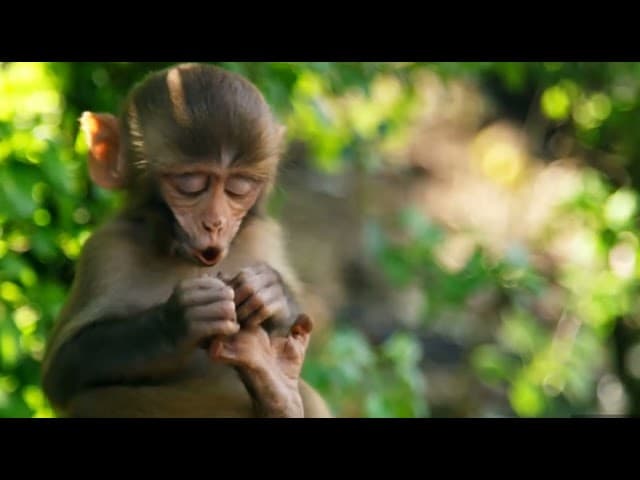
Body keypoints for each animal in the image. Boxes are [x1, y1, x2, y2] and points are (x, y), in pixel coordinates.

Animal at [41, 63, 332, 418]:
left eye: (239, 186)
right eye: (189, 183)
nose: (215, 223)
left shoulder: (264, 235)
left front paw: (270, 291)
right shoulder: (105, 250)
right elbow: (61, 370)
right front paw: (180, 319)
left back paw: (278, 390)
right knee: (94, 398)